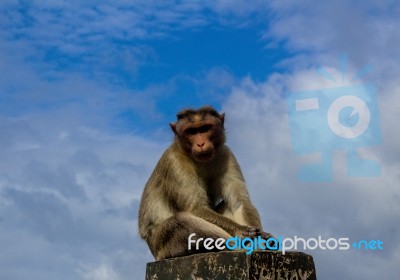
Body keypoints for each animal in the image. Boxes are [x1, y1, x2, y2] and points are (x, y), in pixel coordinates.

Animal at [138, 105, 272, 260]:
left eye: (205, 128)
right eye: (191, 131)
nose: (200, 143)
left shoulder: (226, 155)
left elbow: (240, 202)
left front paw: (262, 237)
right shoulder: (175, 162)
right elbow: (196, 208)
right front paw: (242, 230)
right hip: (163, 245)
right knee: (181, 221)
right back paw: (237, 246)